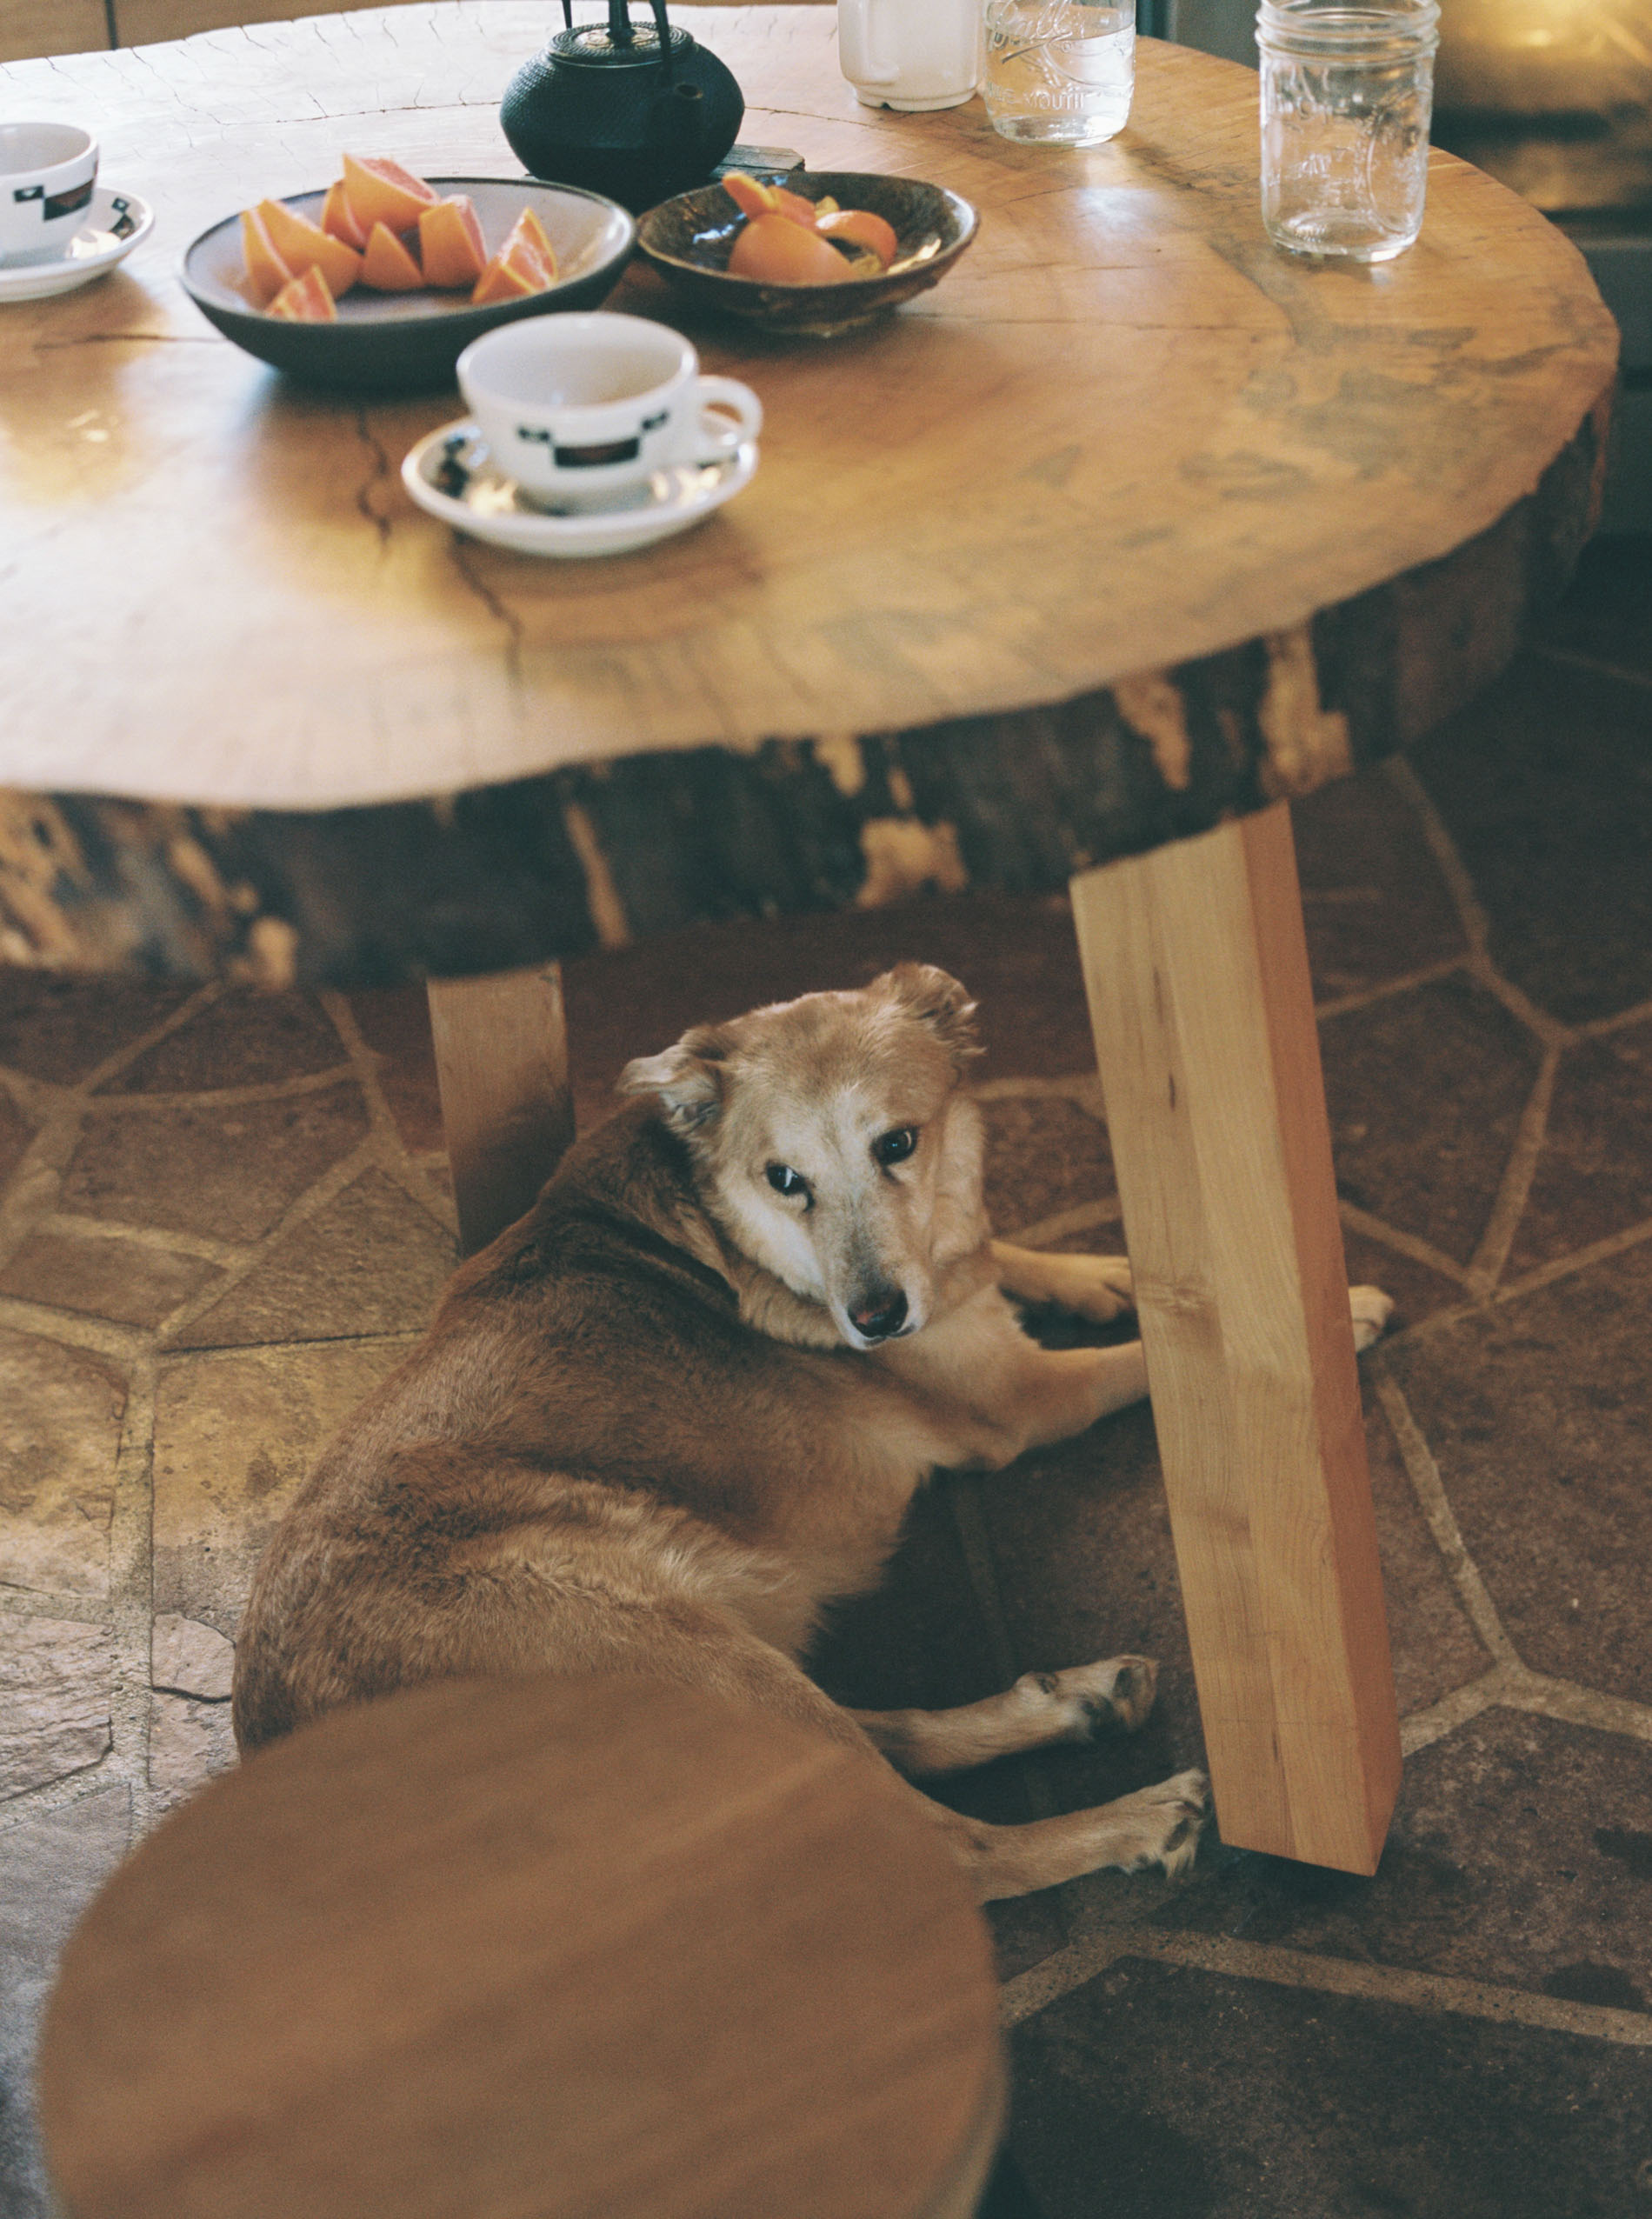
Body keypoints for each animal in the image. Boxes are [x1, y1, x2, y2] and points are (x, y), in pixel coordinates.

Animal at [234, 963, 1391, 1900]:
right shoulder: (1015, 1398)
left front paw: (1099, 1271)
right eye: (783, 1177)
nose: (873, 1318)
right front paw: (1334, 1311)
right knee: (951, 1845)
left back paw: (1076, 1702)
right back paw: (1131, 1817)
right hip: (667, 1642)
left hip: (728, 1661)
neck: (719, 1223)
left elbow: (1029, 1259)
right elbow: (1141, 1357)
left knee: (885, 1740)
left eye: (898, 1143)